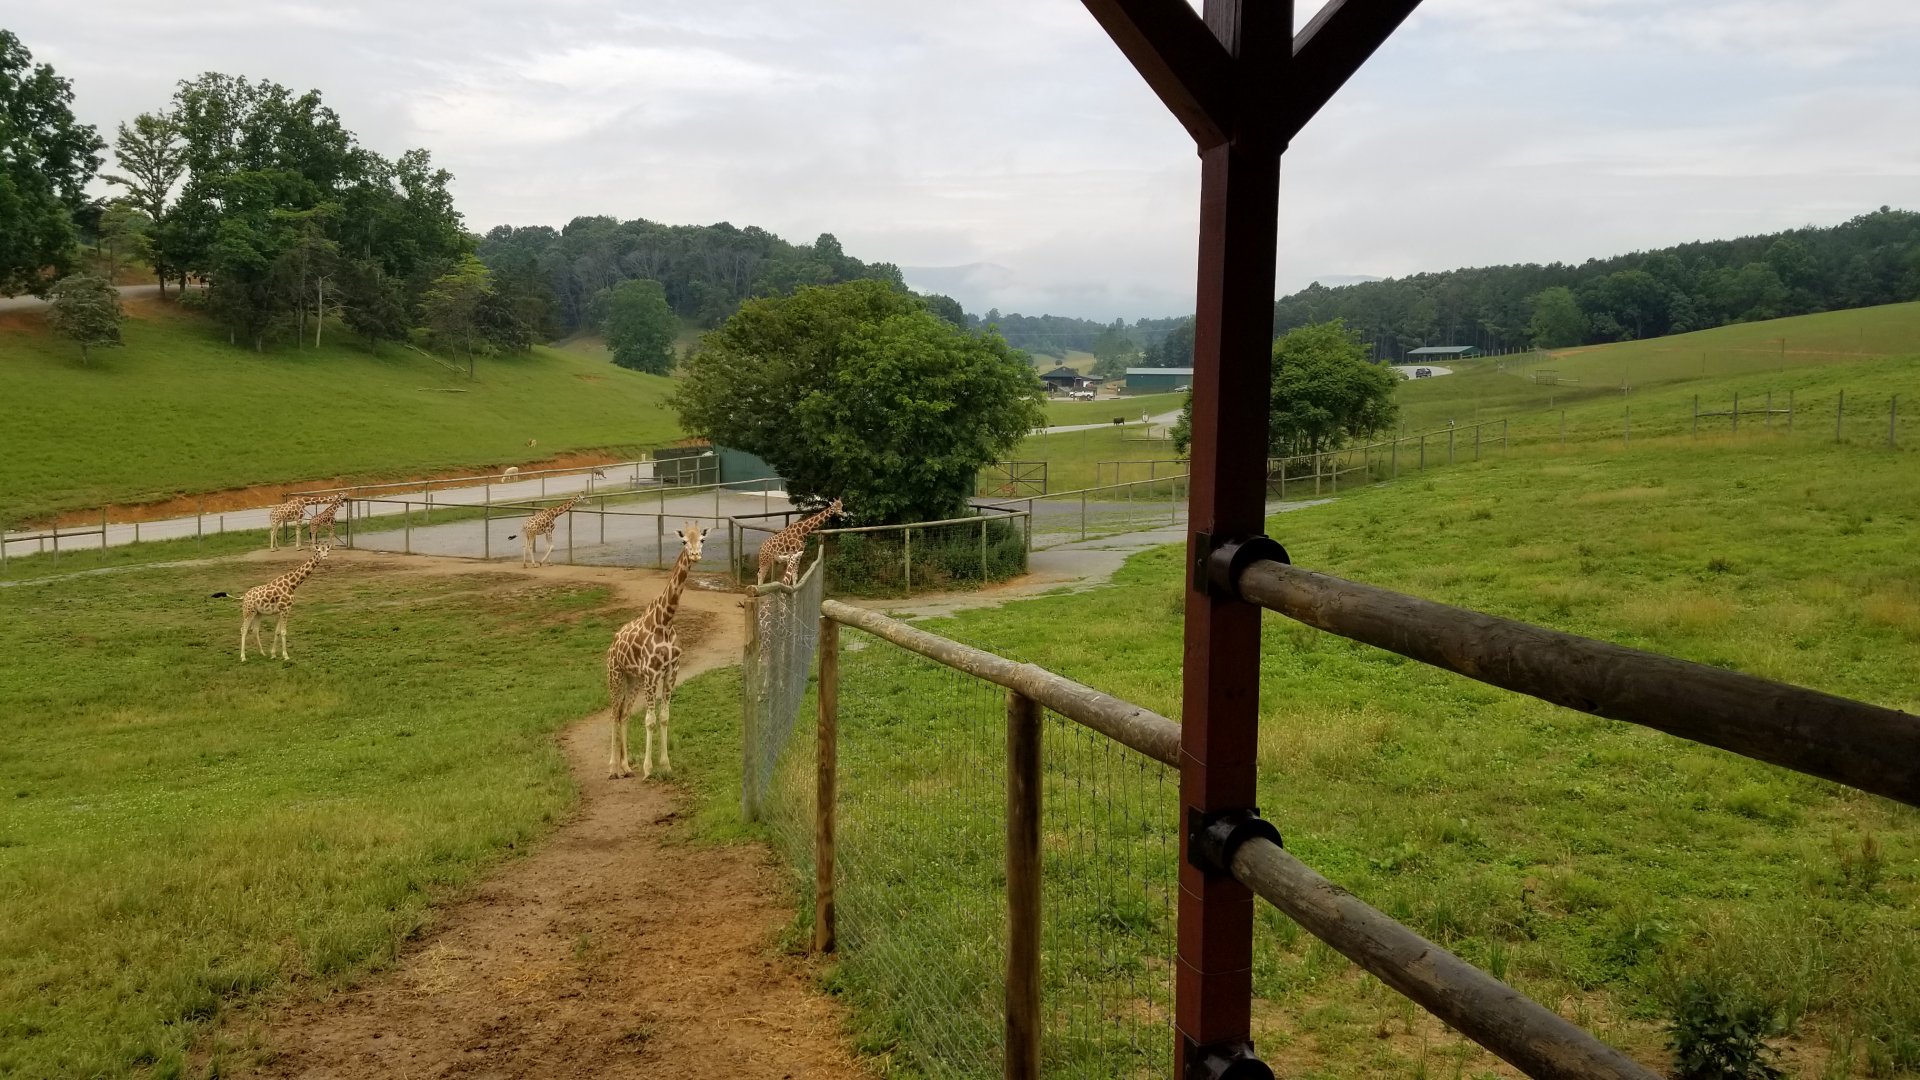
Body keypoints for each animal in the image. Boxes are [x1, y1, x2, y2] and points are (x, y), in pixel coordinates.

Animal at [605, 523, 707, 779]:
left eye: (702, 539)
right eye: (684, 541)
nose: (695, 555)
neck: (665, 621)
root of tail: (612, 645)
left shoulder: (671, 671)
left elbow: (663, 717)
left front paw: (665, 764)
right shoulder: (651, 673)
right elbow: (649, 720)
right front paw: (648, 769)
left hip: (633, 679)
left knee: (624, 713)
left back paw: (625, 767)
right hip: (615, 676)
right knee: (613, 713)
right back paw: (612, 767)